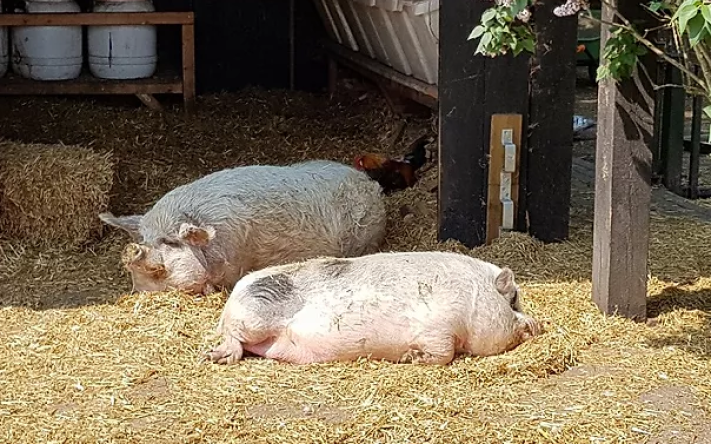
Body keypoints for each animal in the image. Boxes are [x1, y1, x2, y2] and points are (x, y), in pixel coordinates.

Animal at [206, 251, 540, 366]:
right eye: (513, 300)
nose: (538, 324)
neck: (474, 297)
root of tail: (233, 298)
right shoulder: (437, 327)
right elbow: (443, 354)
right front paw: (410, 358)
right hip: (255, 315)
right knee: (233, 338)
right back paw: (215, 357)